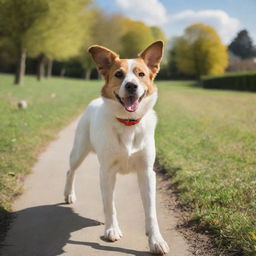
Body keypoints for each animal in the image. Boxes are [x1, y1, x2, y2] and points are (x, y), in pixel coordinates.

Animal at [63, 41, 170, 255]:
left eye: (141, 74)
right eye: (119, 74)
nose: (131, 86)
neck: (128, 123)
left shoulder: (147, 172)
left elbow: (150, 211)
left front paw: (155, 239)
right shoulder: (106, 171)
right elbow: (109, 205)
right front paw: (111, 229)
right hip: (79, 150)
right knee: (71, 171)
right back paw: (69, 194)